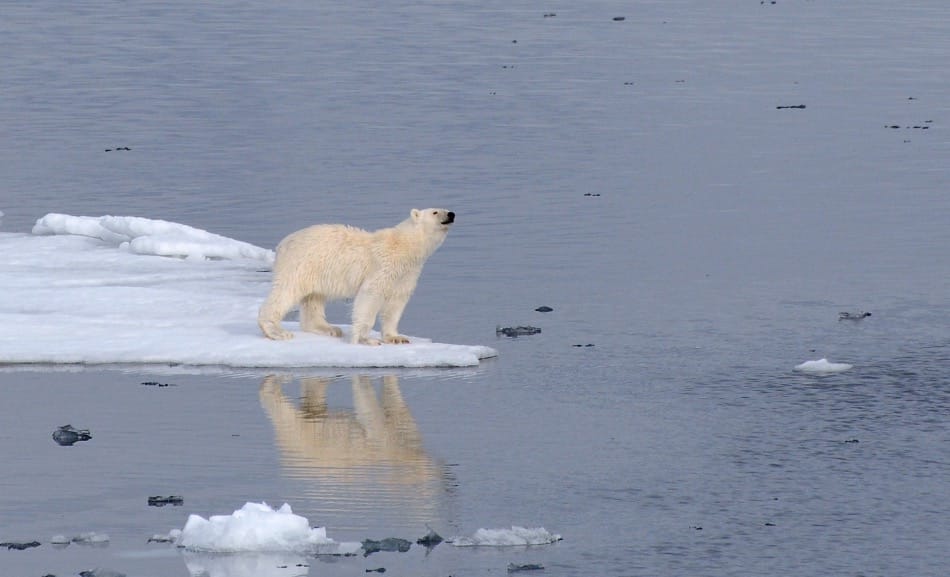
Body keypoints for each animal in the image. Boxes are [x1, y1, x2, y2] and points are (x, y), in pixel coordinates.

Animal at [258, 207, 456, 344]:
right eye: (435, 211)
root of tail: (283, 244)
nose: (451, 214)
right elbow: (369, 297)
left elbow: (396, 303)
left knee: (314, 298)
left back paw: (328, 328)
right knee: (286, 291)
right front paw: (365, 339)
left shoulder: (407, 274)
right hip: (301, 263)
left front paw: (396, 337)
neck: (405, 246)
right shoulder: (383, 266)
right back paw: (276, 331)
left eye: (445, 208)